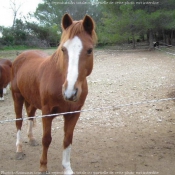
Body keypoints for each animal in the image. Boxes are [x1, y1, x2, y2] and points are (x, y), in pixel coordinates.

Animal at [11, 14, 97, 174]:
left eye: (89, 50)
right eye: (63, 49)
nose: (70, 92)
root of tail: (21, 56)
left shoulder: (74, 113)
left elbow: (67, 139)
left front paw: (67, 168)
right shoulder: (47, 112)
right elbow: (47, 139)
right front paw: (43, 166)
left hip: (31, 100)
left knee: (30, 115)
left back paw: (31, 139)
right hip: (17, 97)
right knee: (19, 121)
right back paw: (19, 149)